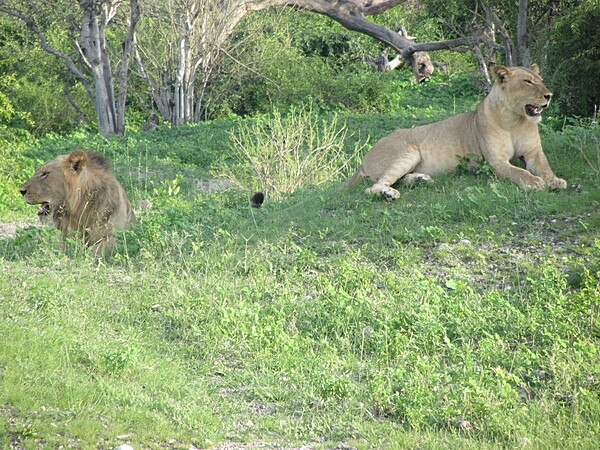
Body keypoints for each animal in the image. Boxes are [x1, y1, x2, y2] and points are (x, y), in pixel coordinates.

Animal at [346, 64, 568, 198]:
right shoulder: (495, 160)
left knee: (399, 180)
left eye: (540, 79)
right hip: (407, 153)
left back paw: (421, 179)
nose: (549, 95)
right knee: (373, 187)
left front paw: (555, 181)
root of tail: (365, 158)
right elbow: (518, 171)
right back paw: (388, 193)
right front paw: (533, 182)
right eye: (527, 82)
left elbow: (545, 167)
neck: (513, 121)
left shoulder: (533, 153)